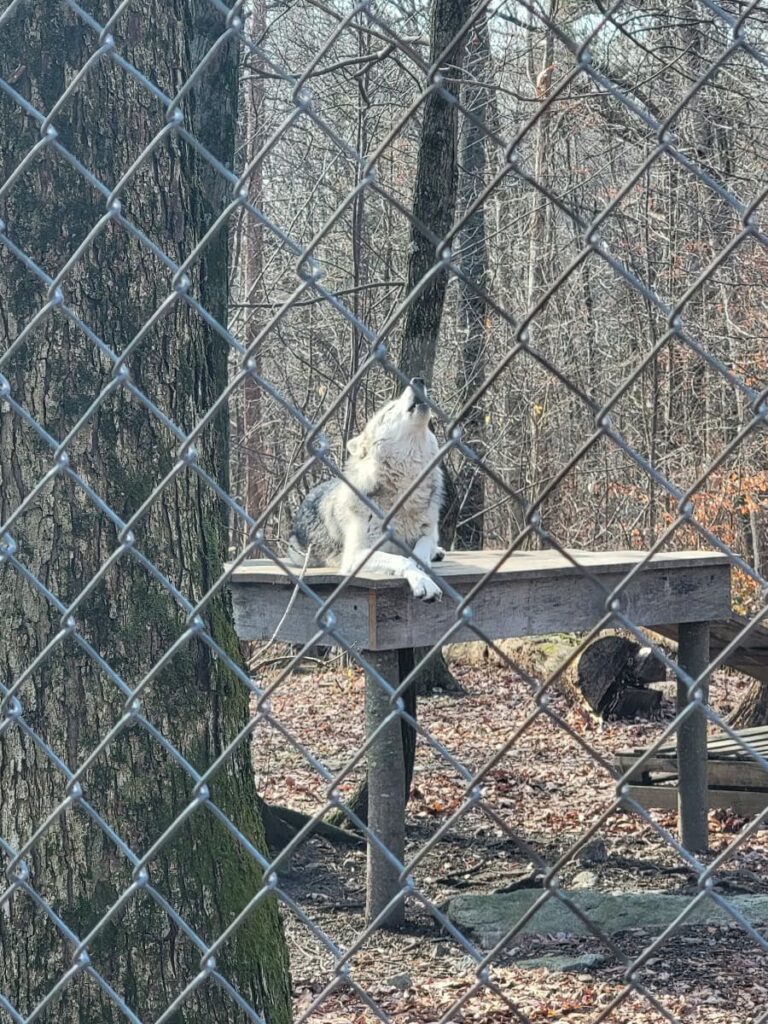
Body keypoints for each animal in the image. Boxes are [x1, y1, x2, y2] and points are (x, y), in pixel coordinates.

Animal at [286, 376, 444, 598]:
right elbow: (402, 560)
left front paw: (423, 563)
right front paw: (423, 581)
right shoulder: (357, 555)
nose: (418, 379)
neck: (404, 489)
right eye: (390, 409)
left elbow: (421, 547)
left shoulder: (427, 534)